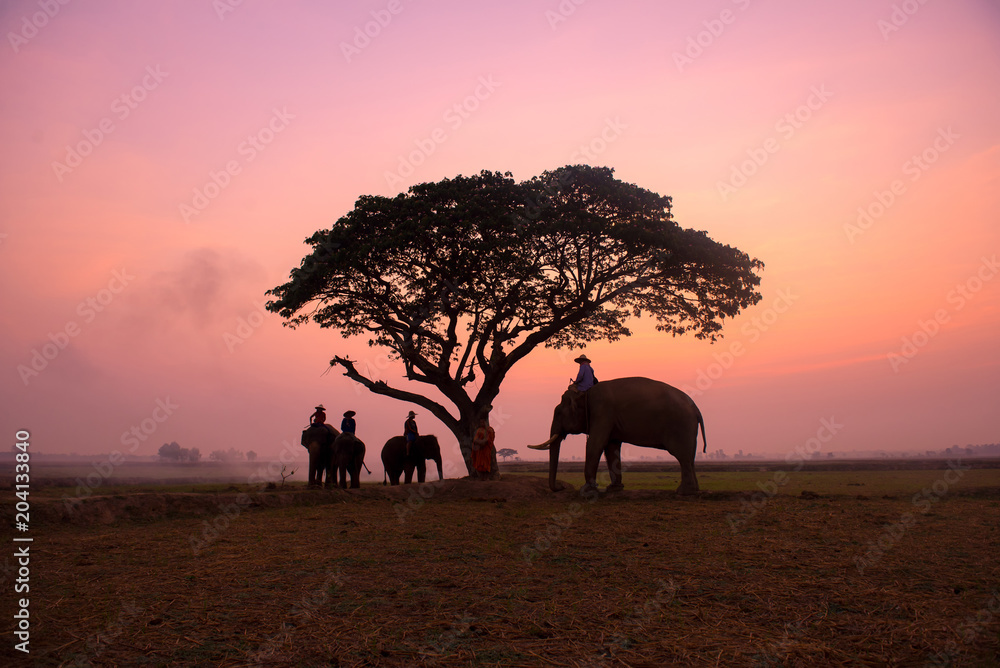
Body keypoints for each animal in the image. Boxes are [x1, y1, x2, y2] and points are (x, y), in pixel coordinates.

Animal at [528, 376, 708, 496]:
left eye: (558, 413)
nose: (561, 487)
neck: (585, 393)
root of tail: (696, 409)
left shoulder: (602, 411)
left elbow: (595, 444)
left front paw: (586, 490)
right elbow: (611, 447)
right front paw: (614, 489)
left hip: (681, 426)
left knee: (682, 456)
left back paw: (683, 492)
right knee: (689, 457)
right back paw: (694, 491)